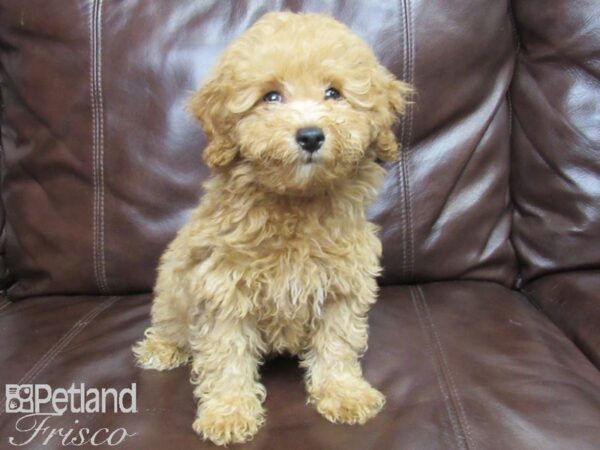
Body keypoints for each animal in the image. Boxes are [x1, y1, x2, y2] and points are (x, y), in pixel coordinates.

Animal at [134, 10, 410, 446]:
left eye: (333, 93)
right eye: (271, 97)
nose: (310, 135)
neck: (295, 203)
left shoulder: (343, 284)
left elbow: (338, 342)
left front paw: (343, 393)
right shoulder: (223, 286)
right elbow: (226, 354)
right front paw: (228, 412)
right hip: (173, 287)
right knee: (170, 321)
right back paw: (162, 348)